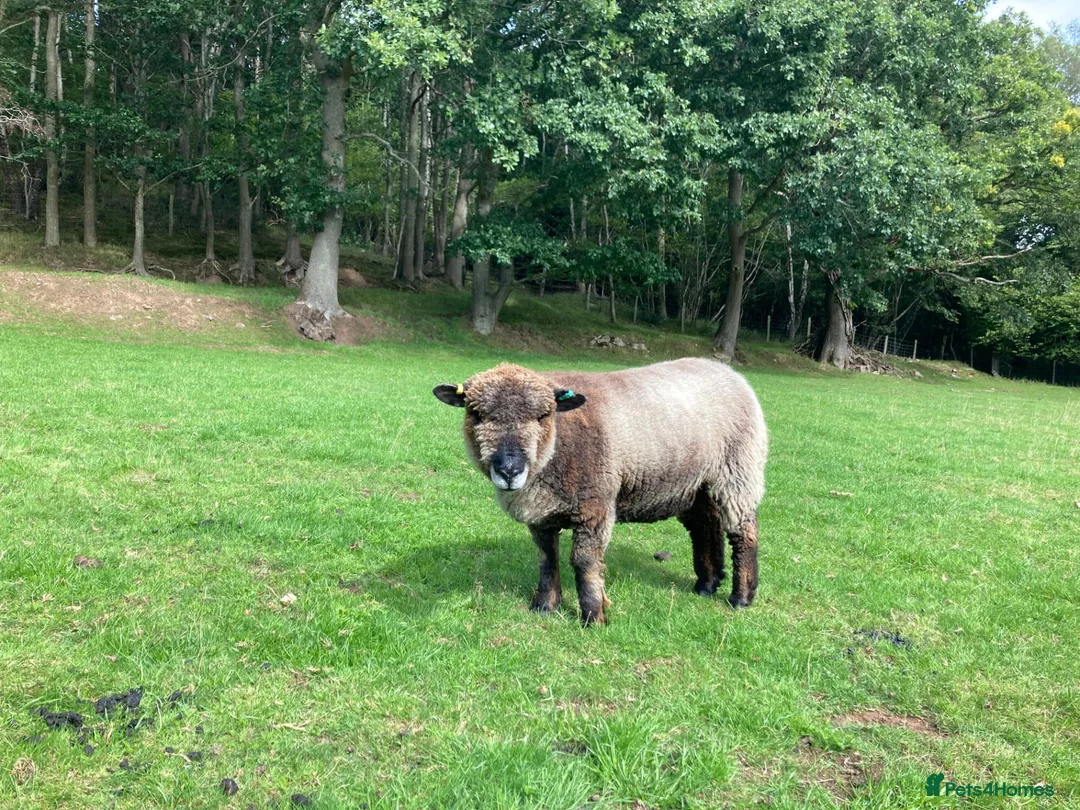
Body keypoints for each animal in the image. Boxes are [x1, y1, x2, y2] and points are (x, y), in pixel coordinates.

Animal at [433, 358, 768, 625]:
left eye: (543, 415)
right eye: (476, 414)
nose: (509, 470)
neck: (557, 445)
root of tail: (727, 370)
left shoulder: (594, 508)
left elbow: (584, 563)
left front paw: (593, 616)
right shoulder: (542, 515)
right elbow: (546, 558)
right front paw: (545, 606)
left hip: (739, 468)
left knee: (743, 532)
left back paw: (741, 596)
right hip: (693, 482)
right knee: (706, 523)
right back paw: (706, 584)